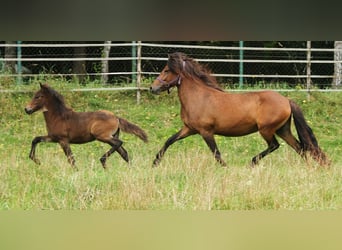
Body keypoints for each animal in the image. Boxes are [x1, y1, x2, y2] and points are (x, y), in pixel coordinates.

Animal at [150, 51, 332, 167]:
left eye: (166, 70)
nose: (152, 88)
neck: (199, 97)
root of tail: (286, 100)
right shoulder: (189, 129)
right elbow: (169, 141)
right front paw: (155, 162)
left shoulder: (206, 132)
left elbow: (216, 153)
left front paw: (226, 168)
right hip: (283, 129)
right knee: (300, 148)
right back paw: (307, 168)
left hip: (266, 129)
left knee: (275, 145)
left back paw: (252, 162)